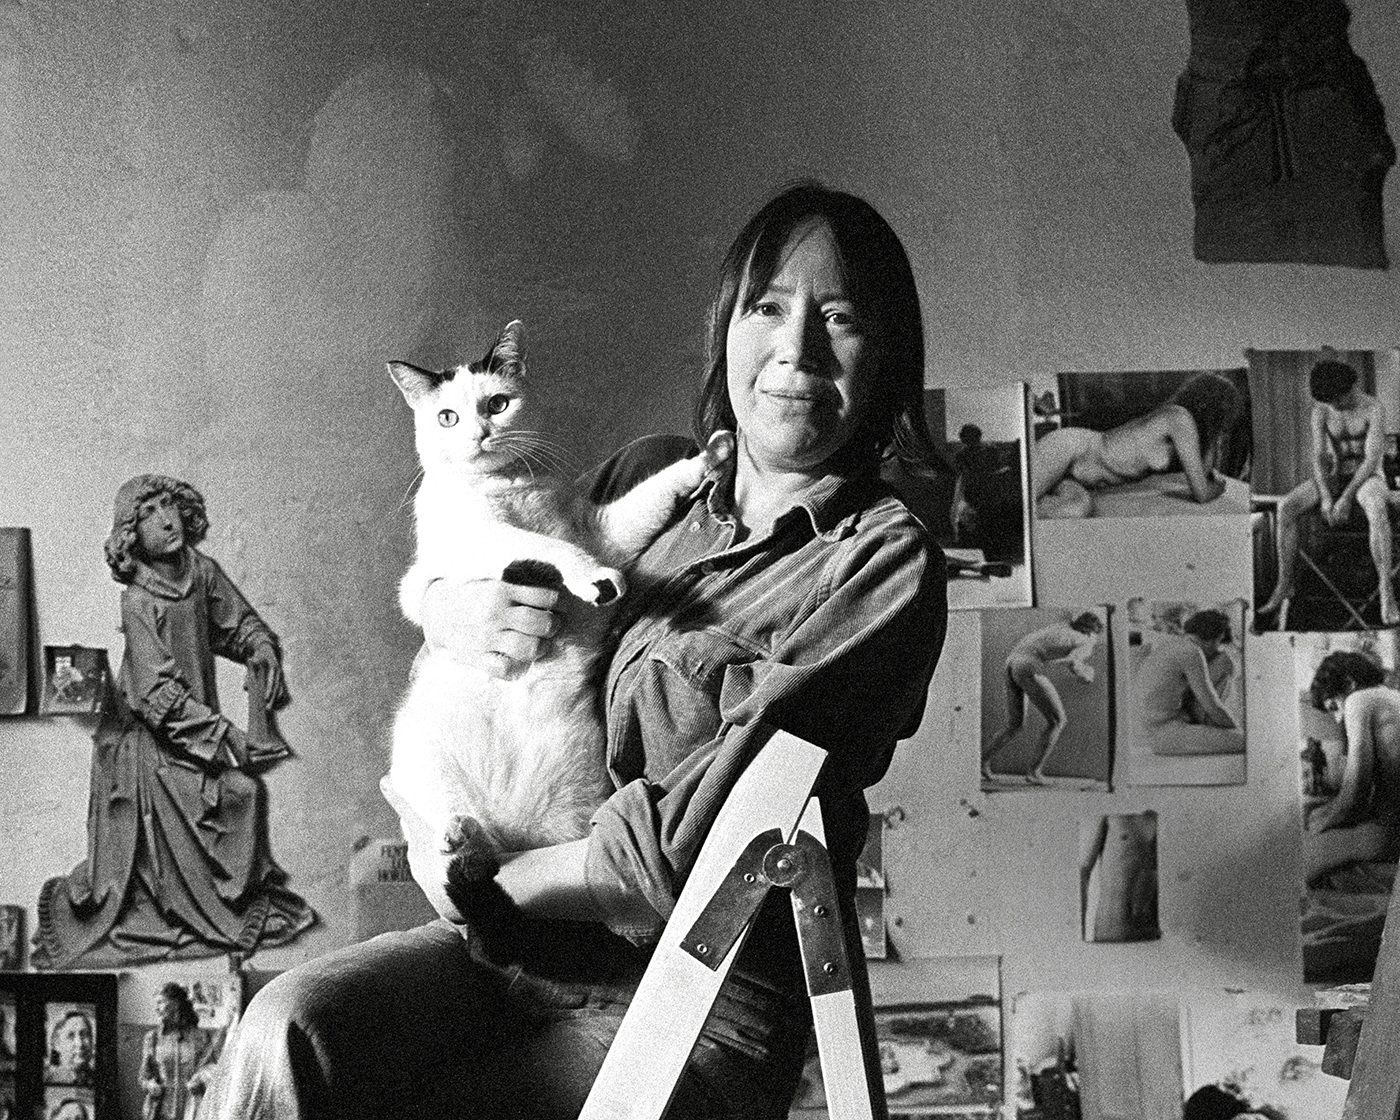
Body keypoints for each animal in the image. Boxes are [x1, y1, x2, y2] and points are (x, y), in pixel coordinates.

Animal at [384, 319, 732, 906]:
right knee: (455, 825)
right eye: (447, 417)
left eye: (498, 404)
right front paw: (590, 579)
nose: (479, 434)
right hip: (422, 761)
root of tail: (513, 830)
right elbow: (545, 547)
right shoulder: (470, 542)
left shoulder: (601, 532)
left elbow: (652, 494)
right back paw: (460, 836)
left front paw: (710, 458)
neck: (512, 486)